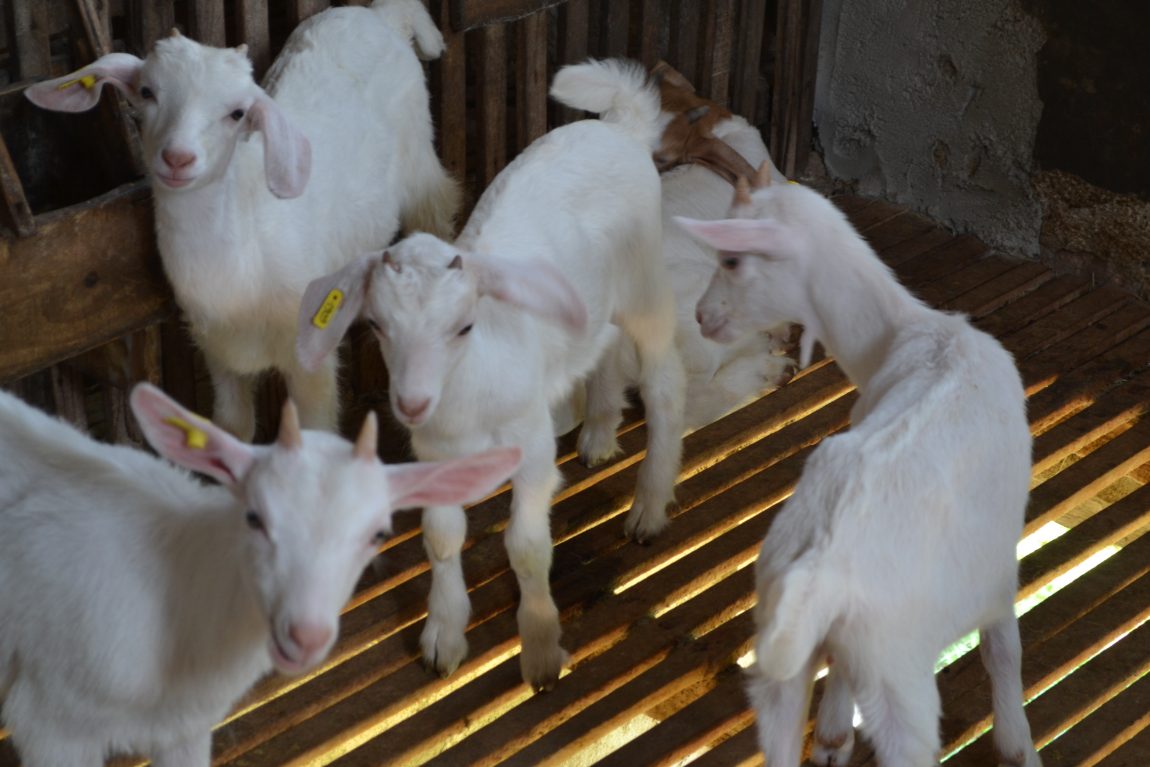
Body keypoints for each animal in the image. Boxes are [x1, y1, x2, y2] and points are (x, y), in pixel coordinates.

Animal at [25, 0, 460, 441]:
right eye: (147, 92)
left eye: (237, 114)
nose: (178, 158)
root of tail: (382, 14)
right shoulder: (220, 356)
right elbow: (233, 427)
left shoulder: (311, 359)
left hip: (419, 161)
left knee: (439, 205)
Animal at [295, 59, 686, 691]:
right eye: (375, 324)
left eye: (464, 327)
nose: (411, 403)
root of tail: (619, 127)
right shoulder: (435, 456)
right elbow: (440, 538)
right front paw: (444, 637)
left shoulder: (531, 447)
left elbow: (525, 546)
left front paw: (542, 650)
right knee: (601, 349)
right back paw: (599, 435)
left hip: (645, 283)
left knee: (664, 383)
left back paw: (649, 508)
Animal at [677, 167, 1041, 766]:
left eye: (731, 259)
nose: (702, 317)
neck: (902, 336)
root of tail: (814, 574)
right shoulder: (996, 573)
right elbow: (1004, 654)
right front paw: (1018, 746)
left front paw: (831, 734)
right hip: (898, 678)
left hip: (781, 673)